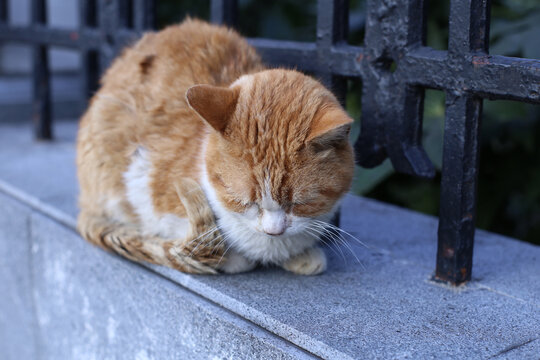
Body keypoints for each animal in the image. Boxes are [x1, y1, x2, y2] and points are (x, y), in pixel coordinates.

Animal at [76, 17, 354, 276]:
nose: (273, 231)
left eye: (300, 203)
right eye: (244, 202)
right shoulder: (143, 178)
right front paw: (233, 259)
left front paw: (301, 255)